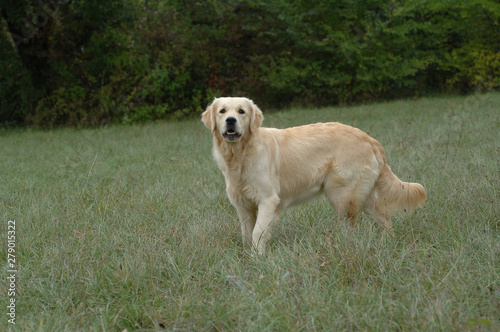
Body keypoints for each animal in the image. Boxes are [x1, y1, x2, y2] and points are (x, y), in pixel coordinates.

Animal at [201, 97, 424, 253]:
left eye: (241, 111)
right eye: (222, 111)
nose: (231, 121)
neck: (240, 155)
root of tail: (369, 138)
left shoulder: (268, 200)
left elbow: (257, 232)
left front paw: (258, 258)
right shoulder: (243, 206)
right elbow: (247, 234)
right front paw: (248, 257)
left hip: (342, 196)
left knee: (350, 226)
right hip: (363, 195)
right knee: (384, 218)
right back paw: (389, 242)